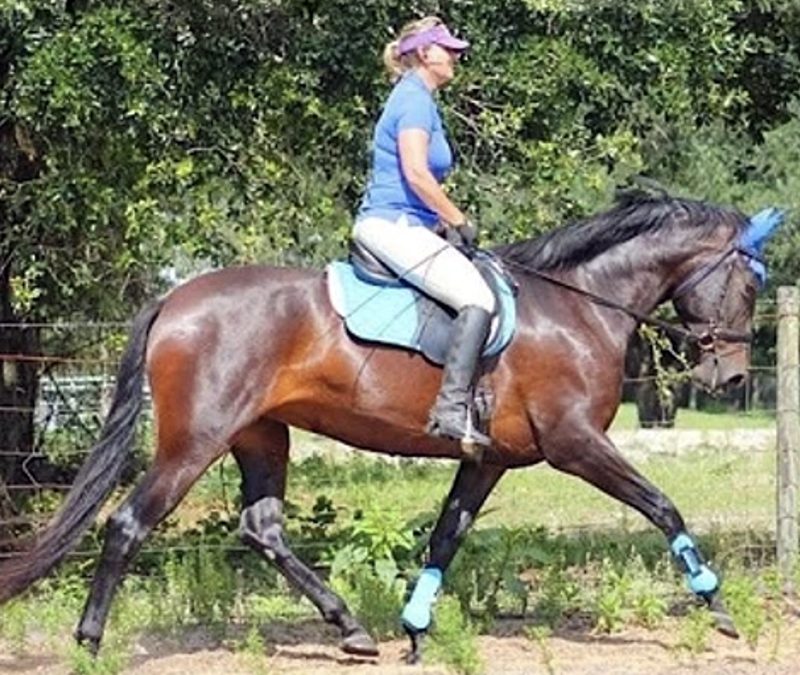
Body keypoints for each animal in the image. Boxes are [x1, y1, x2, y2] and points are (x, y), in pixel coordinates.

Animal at [0, 192, 781, 662]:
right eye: (749, 283)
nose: (730, 379)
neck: (579, 305)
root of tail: (175, 298)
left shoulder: (490, 459)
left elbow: (446, 536)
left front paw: (415, 630)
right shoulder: (576, 444)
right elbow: (662, 505)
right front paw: (717, 605)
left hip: (261, 435)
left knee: (263, 529)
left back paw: (352, 629)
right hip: (195, 441)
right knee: (129, 523)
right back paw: (89, 642)